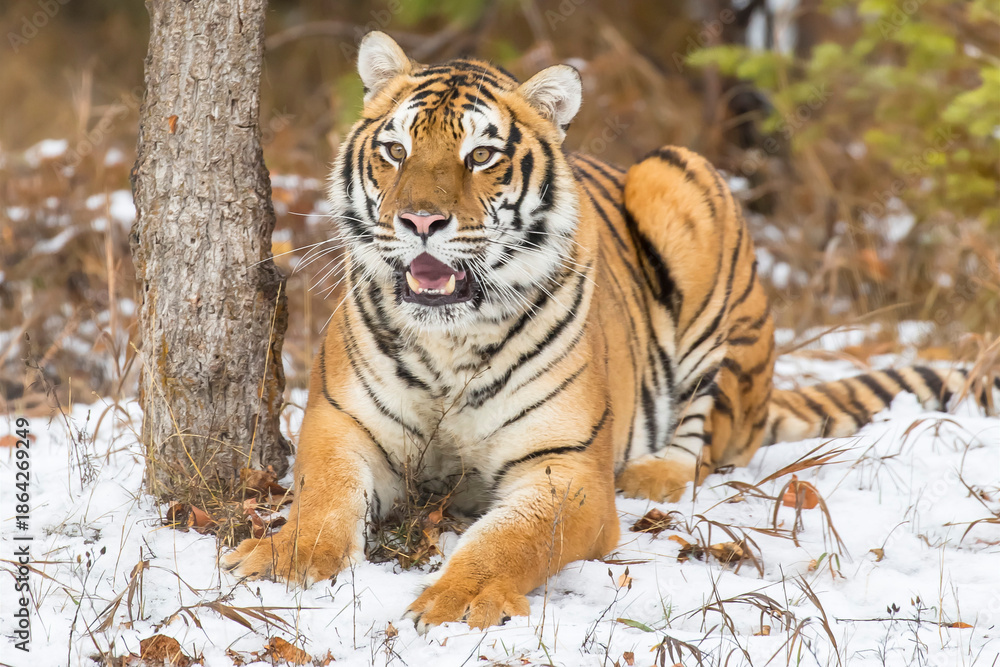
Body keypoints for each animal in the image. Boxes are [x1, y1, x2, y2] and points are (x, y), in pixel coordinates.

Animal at [222, 31, 996, 630]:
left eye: (480, 156)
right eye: (395, 150)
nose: (419, 221)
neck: (451, 337)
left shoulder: (566, 468)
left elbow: (510, 540)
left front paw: (460, 599)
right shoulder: (340, 426)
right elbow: (322, 501)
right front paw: (287, 561)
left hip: (679, 179)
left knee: (706, 425)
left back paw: (654, 472)